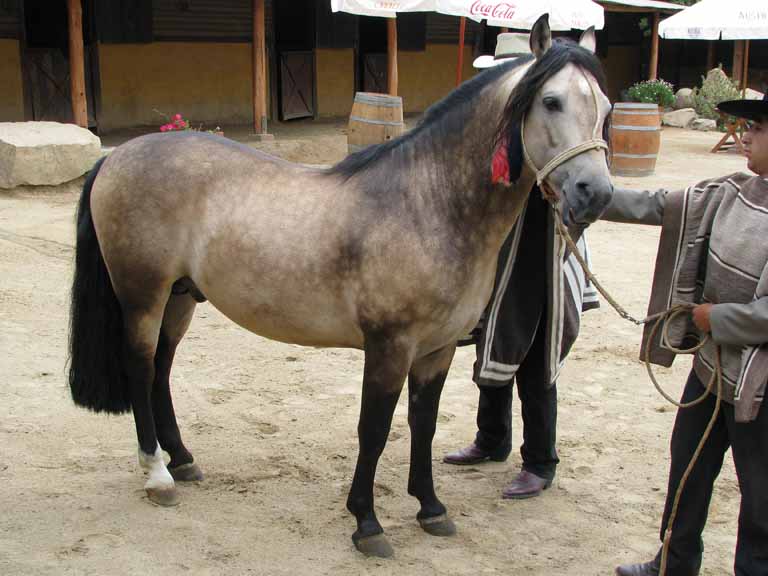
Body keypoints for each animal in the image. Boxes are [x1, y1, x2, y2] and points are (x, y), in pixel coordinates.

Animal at [69, 16, 616, 560]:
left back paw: (181, 460)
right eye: (551, 101)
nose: (596, 193)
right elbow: (373, 430)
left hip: (180, 296)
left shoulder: (435, 351)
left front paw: (430, 509)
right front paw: (367, 524)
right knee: (141, 368)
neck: (427, 204)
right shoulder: (389, 347)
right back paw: (157, 475)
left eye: (606, 108)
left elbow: (423, 424)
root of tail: (116, 157)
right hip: (144, 295)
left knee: (161, 369)